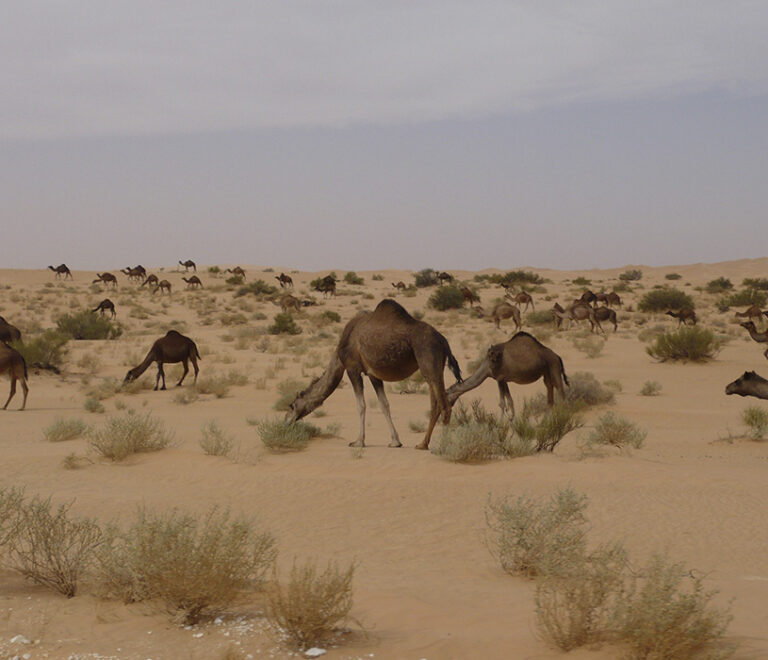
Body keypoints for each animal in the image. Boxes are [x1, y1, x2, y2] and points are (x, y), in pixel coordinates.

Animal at [284, 300, 460, 452]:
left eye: (292, 405)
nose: (286, 420)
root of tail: (443, 341)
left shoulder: (352, 368)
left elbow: (361, 406)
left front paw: (358, 442)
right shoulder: (373, 374)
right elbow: (384, 405)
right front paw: (395, 442)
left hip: (429, 360)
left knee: (444, 405)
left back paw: (442, 446)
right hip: (433, 369)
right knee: (435, 405)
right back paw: (422, 444)